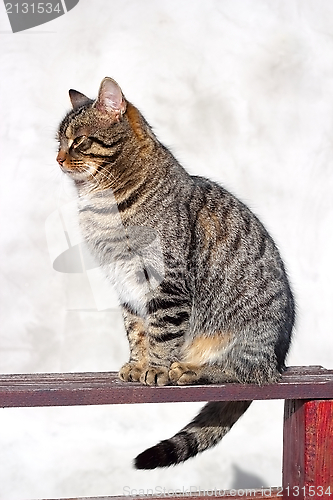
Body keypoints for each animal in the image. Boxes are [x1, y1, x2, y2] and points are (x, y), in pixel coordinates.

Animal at [56, 77, 294, 468]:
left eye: (79, 141)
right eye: (59, 141)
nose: (58, 158)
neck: (102, 204)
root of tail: (281, 360)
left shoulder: (166, 282)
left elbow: (161, 331)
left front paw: (154, 367)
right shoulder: (126, 284)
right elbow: (137, 330)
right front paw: (137, 364)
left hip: (249, 338)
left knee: (246, 374)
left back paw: (191, 369)